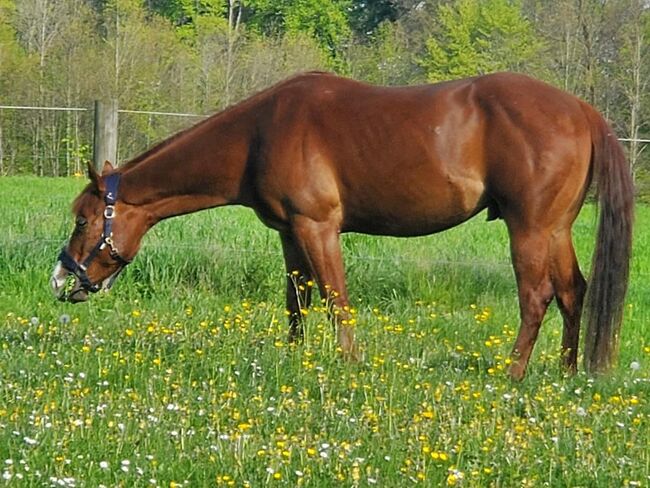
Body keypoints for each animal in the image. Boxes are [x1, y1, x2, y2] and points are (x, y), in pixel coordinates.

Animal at [52, 71, 632, 378]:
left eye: (82, 220)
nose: (61, 281)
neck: (260, 134)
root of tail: (581, 109)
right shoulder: (289, 233)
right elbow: (298, 299)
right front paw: (294, 358)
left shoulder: (318, 227)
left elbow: (335, 298)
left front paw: (349, 364)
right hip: (556, 230)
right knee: (573, 293)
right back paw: (565, 372)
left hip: (528, 230)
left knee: (537, 297)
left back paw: (511, 374)